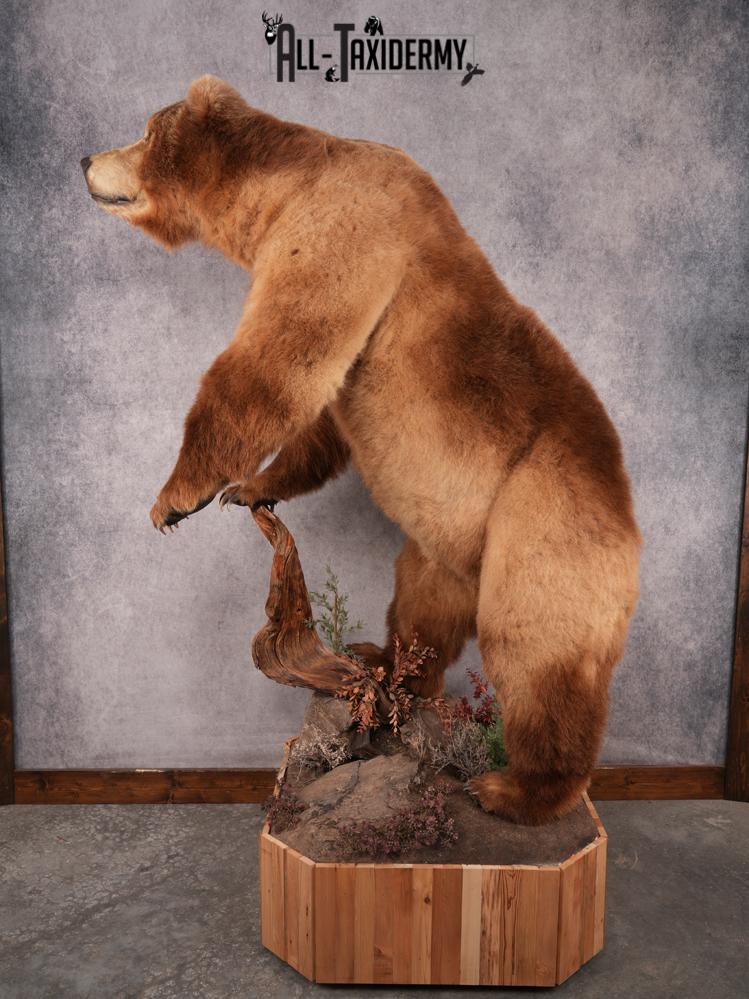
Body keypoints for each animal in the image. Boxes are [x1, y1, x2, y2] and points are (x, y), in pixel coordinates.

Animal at [82, 75, 643, 825]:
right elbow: (320, 413)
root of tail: (628, 518)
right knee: (424, 603)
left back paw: (515, 786)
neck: (276, 198)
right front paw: (251, 486)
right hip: (448, 545)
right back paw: (385, 663)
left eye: (144, 132)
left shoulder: (341, 231)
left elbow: (277, 362)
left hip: (544, 520)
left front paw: (176, 497)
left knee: (534, 649)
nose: (85, 158)